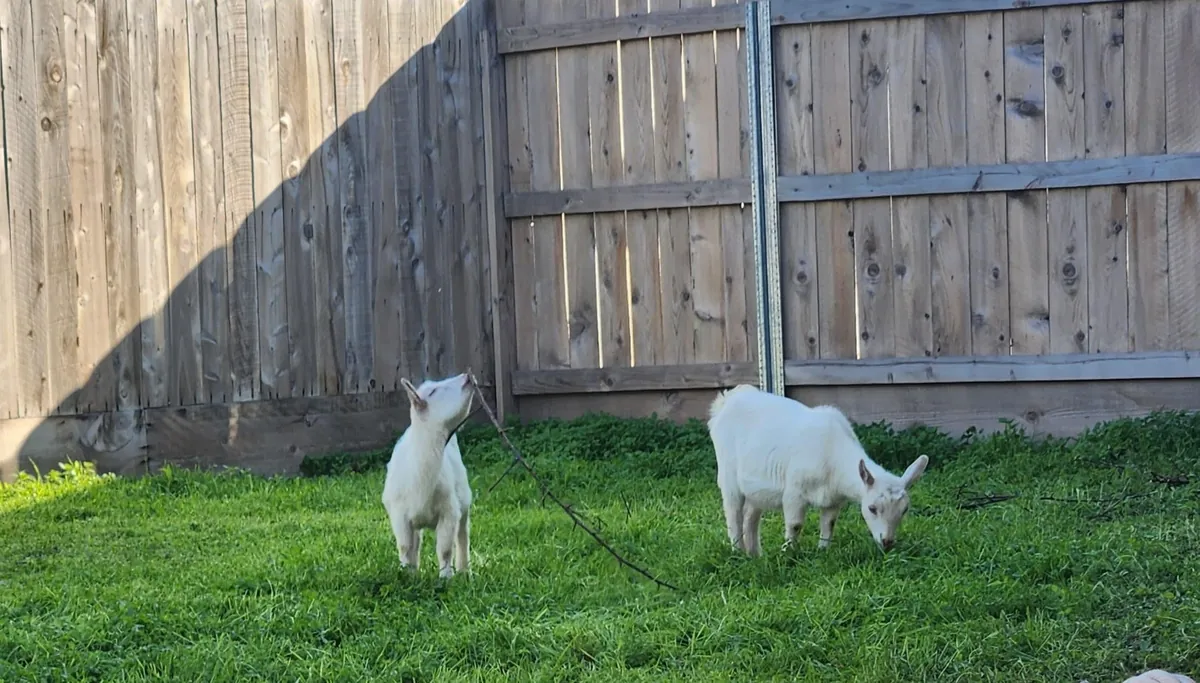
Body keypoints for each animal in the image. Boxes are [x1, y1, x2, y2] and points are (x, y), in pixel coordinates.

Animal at [382, 372, 476, 578]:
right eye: (433, 391)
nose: (468, 376)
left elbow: (445, 549)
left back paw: (464, 569)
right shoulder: (399, 514)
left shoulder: (449, 511)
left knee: (463, 535)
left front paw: (446, 577)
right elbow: (405, 547)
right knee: (416, 543)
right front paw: (406, 575)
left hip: (464, 498)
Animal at [707, 384, 929, 555]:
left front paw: (822, 551)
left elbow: (829, 524)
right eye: (872, 508)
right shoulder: (794, 492)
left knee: (750, 516)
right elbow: (795, 524)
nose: (887, 542)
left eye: (904, 510)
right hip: (728, 473)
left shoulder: (833, 500)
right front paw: (788, 553)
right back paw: (738, 552)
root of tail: (725, 401)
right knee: (733, 512)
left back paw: (754, 555)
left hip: (755, 487)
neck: (832, 454)